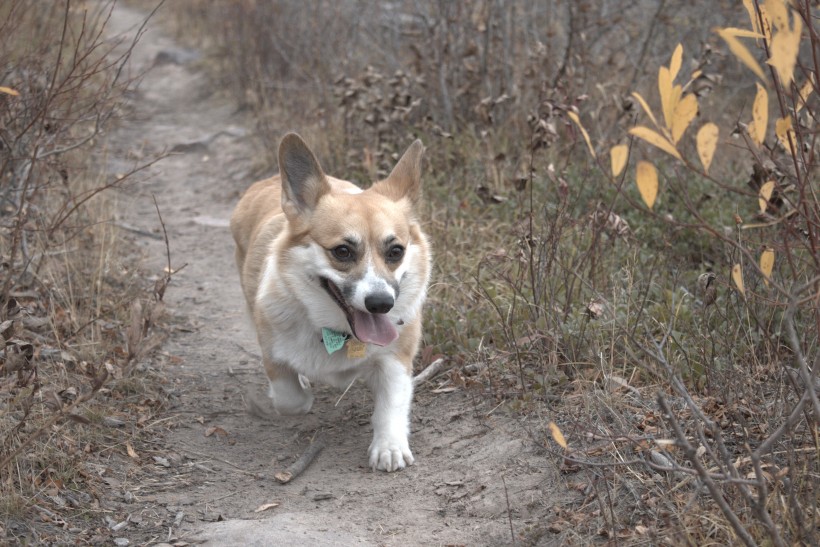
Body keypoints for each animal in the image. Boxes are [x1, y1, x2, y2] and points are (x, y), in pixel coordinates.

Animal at [229, 135, 430, 474]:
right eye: (342, 251)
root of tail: (266, 182)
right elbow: (291, 400)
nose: (381, 304)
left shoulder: (396, 358)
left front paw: (389, 447)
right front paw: (301, 392)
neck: (337, 332)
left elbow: (391, 404)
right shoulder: (272, 353)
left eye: (396, 251)